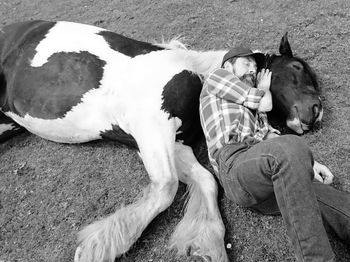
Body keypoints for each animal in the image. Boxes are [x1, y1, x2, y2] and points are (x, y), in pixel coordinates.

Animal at [0, 20, 322, 262]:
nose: (316, 112)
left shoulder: (175, 143)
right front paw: (98, 247)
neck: (194, 73)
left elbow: (205, 181)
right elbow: (166, 186)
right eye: (296, 68)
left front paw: (206, 244)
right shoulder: (152, 128)